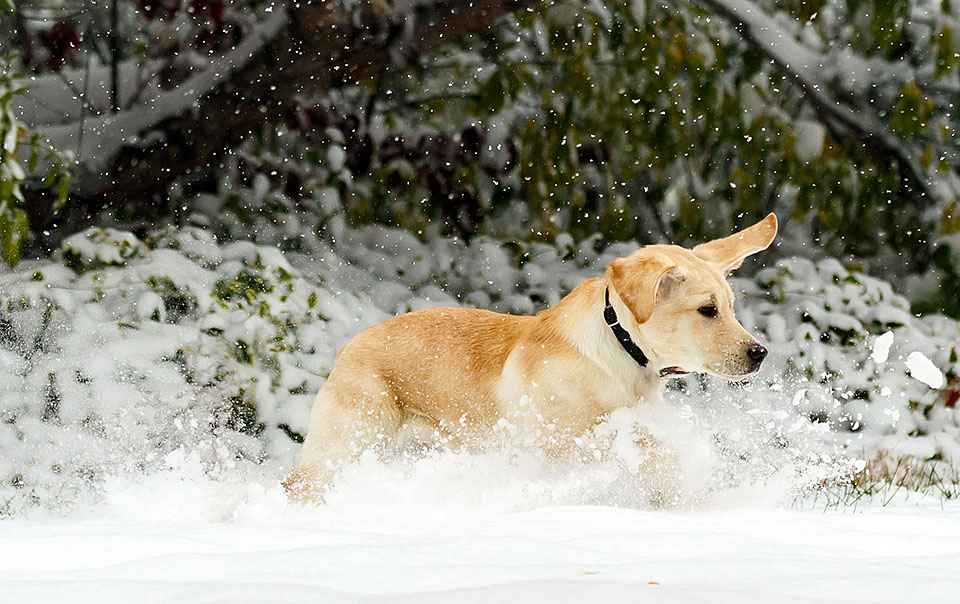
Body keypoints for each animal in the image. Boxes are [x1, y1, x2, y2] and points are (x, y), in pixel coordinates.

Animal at [284, 212, 780, 500]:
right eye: (707, 310)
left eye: (730, 306)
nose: (759, 354)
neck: (619, 351)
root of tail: (347, 346)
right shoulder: (554, 441)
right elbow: (633, 445)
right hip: (350, 442)